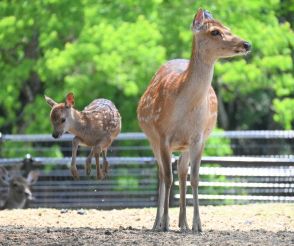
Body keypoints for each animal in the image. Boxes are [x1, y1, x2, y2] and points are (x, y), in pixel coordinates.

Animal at [137, 9, 250, 233]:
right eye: (215, 31)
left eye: (228, 28)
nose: (246, 44)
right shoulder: (163, 136)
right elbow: (168, 177)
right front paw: (165, 223)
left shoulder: (198, 138)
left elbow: (195, 178)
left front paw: (198, 225)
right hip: (152, 139)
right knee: (162, 173)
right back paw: (158, 223)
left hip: (186, 144)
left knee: (181, 171)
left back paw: (183, 223)